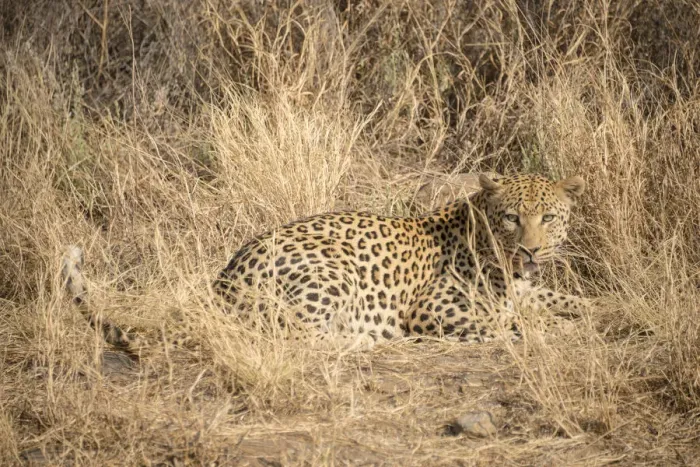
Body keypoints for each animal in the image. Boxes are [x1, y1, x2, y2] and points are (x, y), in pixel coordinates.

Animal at [62, 173, 589, 352]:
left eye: (548, 217)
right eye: (512, 218)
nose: (532, 250)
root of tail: (221, 283)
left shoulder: (530, 290)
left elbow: (570, 301)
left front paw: (594, 313)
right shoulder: (432, 307)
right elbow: (505, 325)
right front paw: (548, 333)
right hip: (332, 271)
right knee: (298, 338)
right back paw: (369, 340)